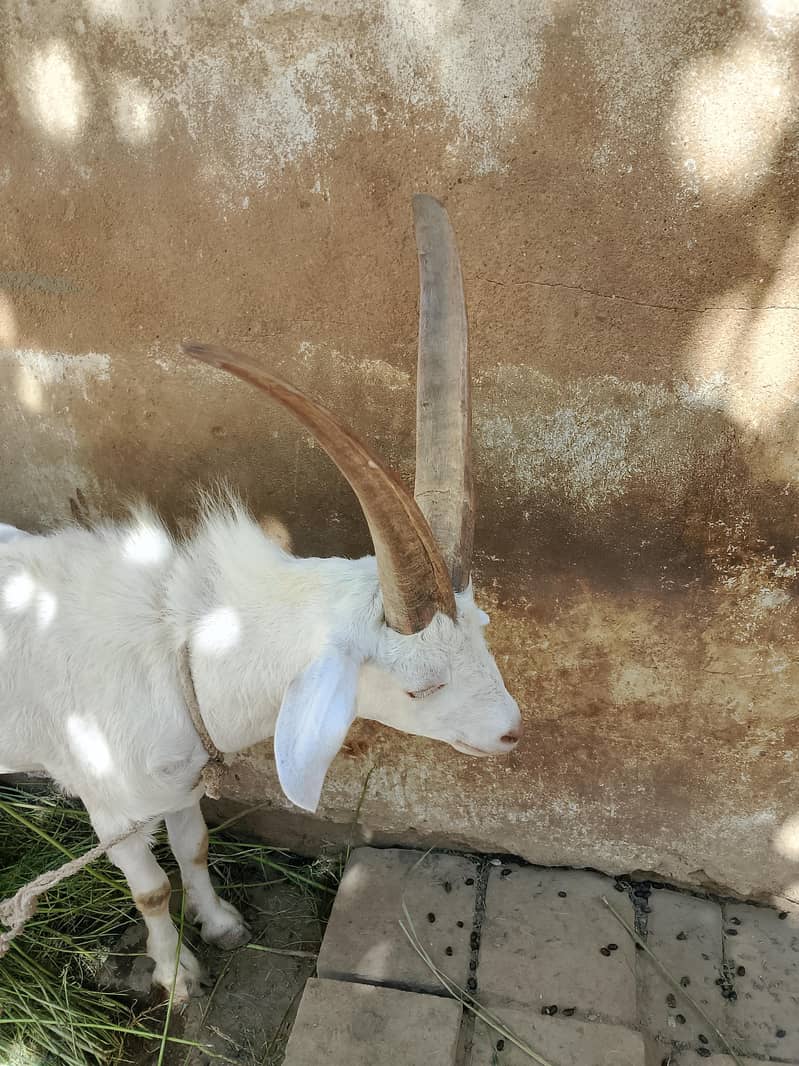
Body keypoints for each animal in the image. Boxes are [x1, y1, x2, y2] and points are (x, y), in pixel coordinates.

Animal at [0, 196, 522, 1001]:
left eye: (485, 630)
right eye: (419, 684)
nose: (511, 733)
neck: (183, 648)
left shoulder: (181, 782)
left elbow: (195, 849)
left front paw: (220, 927)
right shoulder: (111, 803)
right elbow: (151, 886)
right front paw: (177, 977)